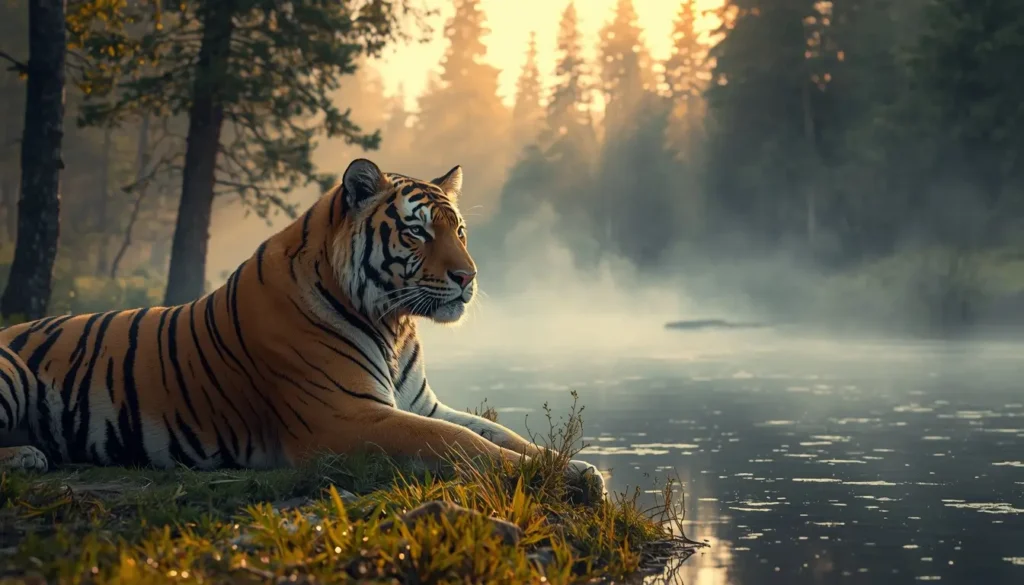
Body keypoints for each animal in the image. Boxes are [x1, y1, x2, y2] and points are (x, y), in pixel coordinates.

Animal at [0, 158, 604, 494]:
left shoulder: (421, 404)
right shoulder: (344, 417)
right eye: (416, 232)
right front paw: (557, 478)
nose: (468, 276)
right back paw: (27, 455)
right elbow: (460, 442)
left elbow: (497, 433)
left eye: (458, 230)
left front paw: (576, 468)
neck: (393, 323)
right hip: (10, 371)